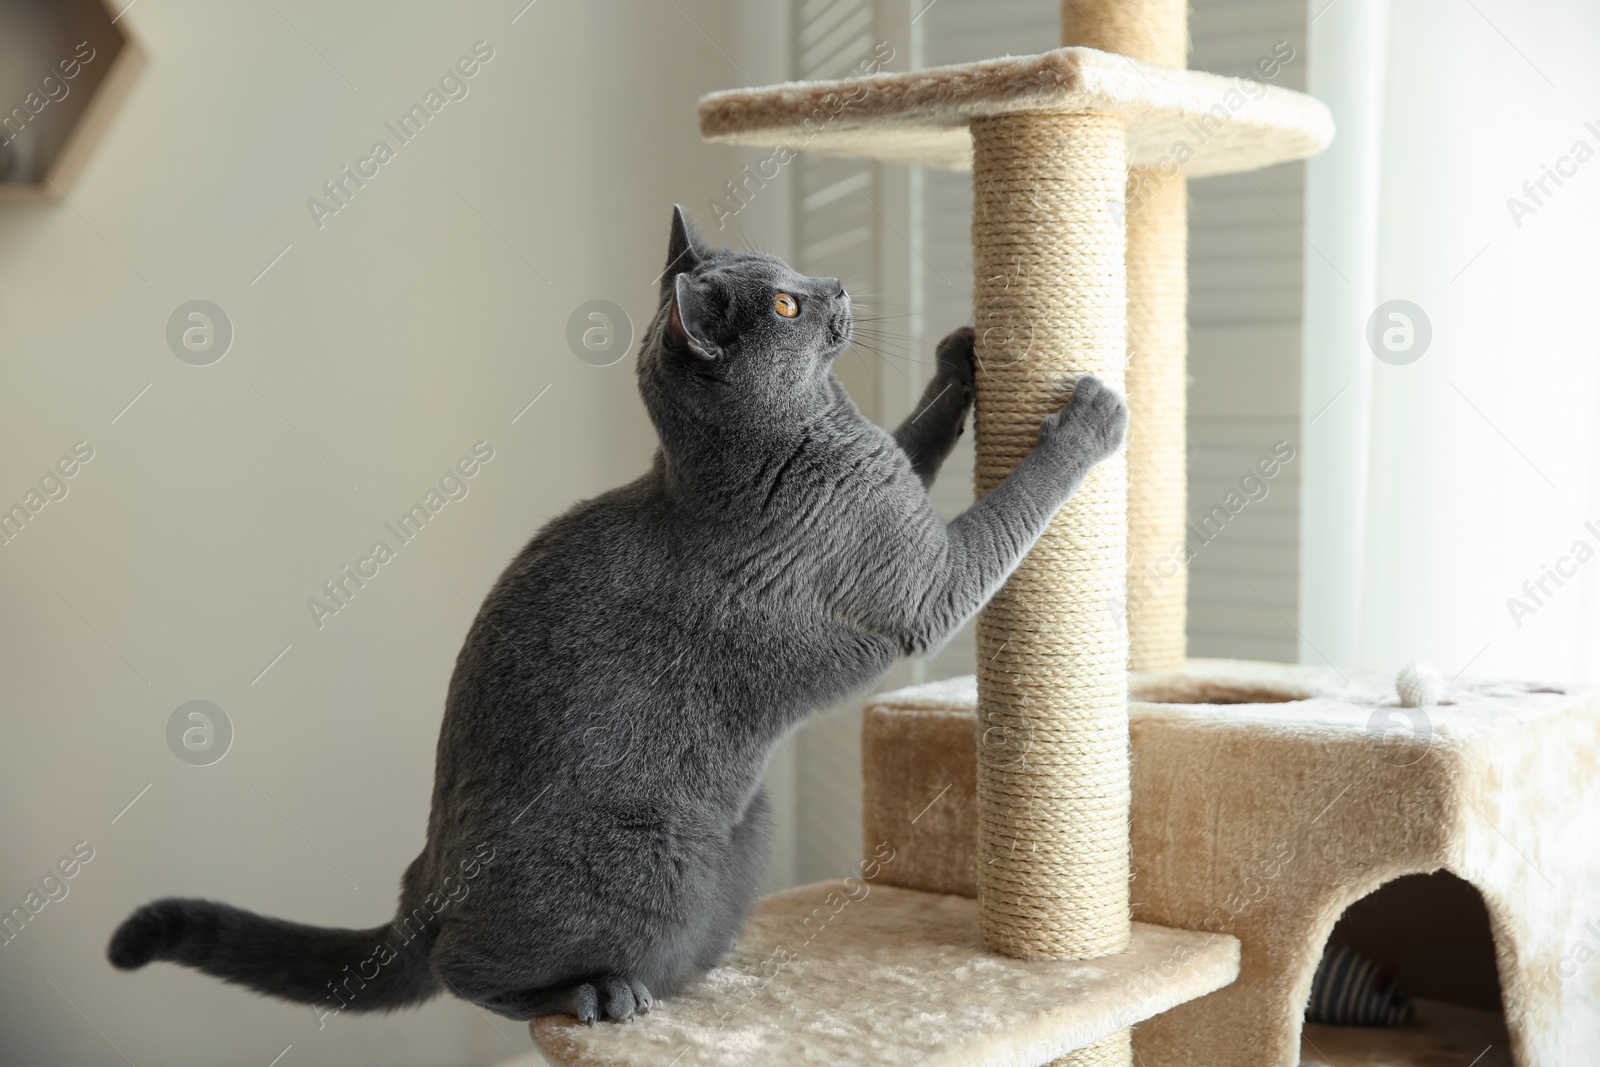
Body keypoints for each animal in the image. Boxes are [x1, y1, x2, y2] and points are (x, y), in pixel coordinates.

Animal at [103, 202, 1126, 1023]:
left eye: (790, 275)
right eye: (784, 308)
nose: (831, 283)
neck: (798, 443)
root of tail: (417, 887)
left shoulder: (893, 484)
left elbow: (917, 436)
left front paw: (963, 355)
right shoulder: (923, 584)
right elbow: (1010, 510)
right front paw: (1089, 420)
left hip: (742, 830)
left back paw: (689, 974)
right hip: (640, 863)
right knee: (463, 971)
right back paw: (597, 996)